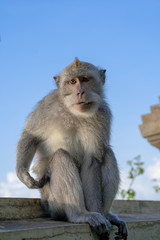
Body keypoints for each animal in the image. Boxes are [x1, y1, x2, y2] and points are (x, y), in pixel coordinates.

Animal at [16, 58, 128, 240]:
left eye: (85, 79)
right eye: (72, 82)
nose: (80, 92)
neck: (74, 112)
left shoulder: (103, 113)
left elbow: (92, 162)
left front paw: (100, 216)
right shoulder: (47, 105)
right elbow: (30, 135)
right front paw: (23, 175)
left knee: (107, 154)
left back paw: (105, 215)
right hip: (53, 203)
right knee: (61, 156)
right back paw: (79, 214)